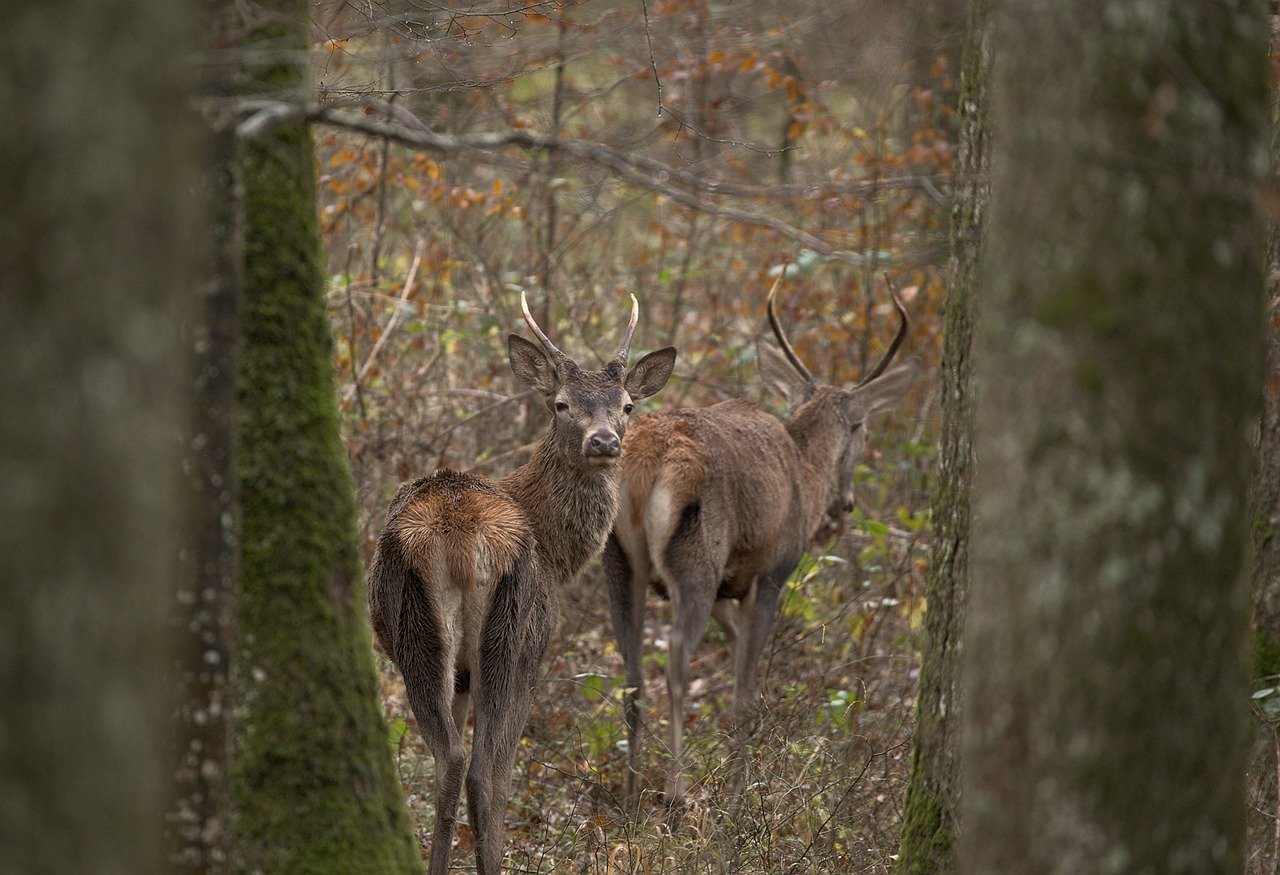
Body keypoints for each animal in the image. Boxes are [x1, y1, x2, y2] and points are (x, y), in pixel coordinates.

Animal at [366, 295, 675, 875]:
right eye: (560, 404)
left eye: (626, 406)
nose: (604, 441)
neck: (558, 553)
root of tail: (460, 540)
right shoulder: (536, 644)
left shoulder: (463, 676)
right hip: (508, 636)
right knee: (483, 768)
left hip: (434, 643)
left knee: (450, 759)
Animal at [604, 276, 916, 803]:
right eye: (863, 429)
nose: (847, 503)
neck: (807, 472)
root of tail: (649, 457)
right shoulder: (770, 573)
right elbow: (745, 691)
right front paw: (740, 788)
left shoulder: (730, 585)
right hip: (695, 558)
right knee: (676, 660)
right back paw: (677, 790)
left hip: (620, 560)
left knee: (632, 673)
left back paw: (628, 794)